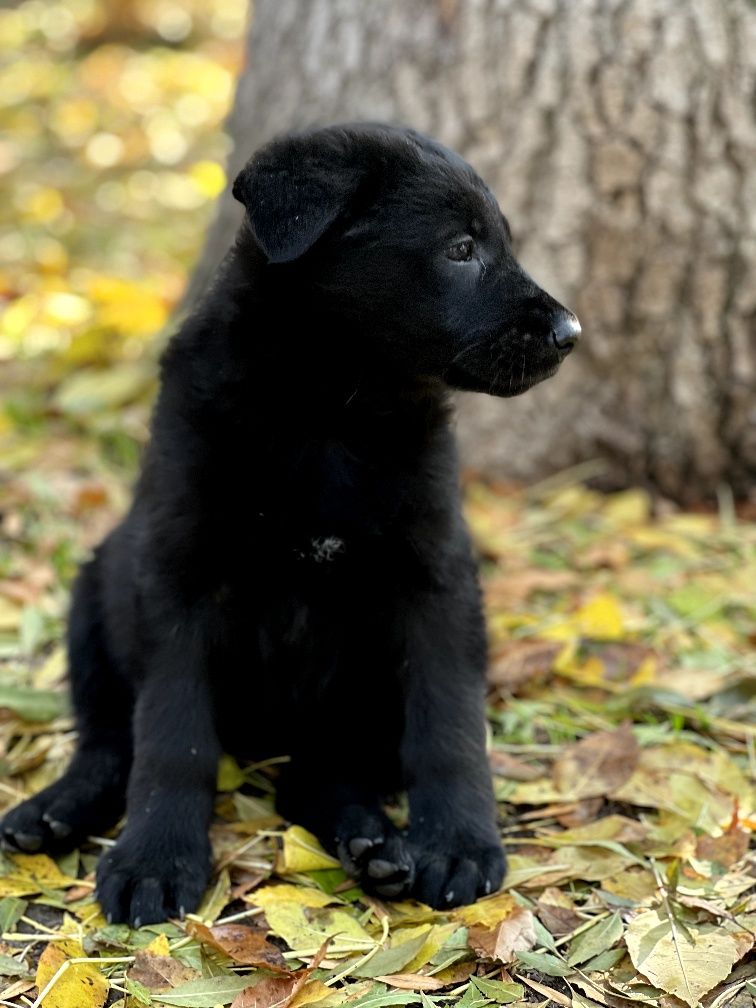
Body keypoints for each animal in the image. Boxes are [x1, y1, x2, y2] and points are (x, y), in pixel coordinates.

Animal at [2, 121, 580, 923]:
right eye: (461, 248)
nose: (572, 332)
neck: (328, 409)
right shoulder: (179, 574)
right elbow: (173, 737)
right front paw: (157, 858)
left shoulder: (436, 578)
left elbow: (450, 725)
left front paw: (459, 844)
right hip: (96, 592)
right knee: (110, 739)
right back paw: (56, 810)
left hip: (353, 703)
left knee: (317, 775)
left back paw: (374, 847)